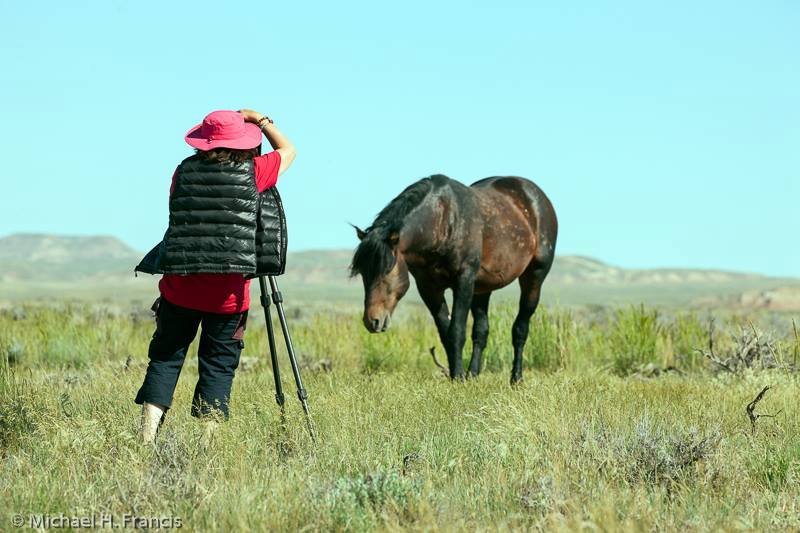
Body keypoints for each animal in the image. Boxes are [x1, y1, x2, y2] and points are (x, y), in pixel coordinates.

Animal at [350, 174, 556, 382]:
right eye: (363, 273)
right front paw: (457, 375)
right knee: (481, 330)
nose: (372, 320)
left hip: (534, 277)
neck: (443, 221)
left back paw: (516, 378)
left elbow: (456, 330)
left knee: (520, 328)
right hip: (482, 288)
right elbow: (445, 332)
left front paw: (458, 377)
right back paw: (473, 375)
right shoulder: (428, 287)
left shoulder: (463, 281)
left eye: (386, 270)